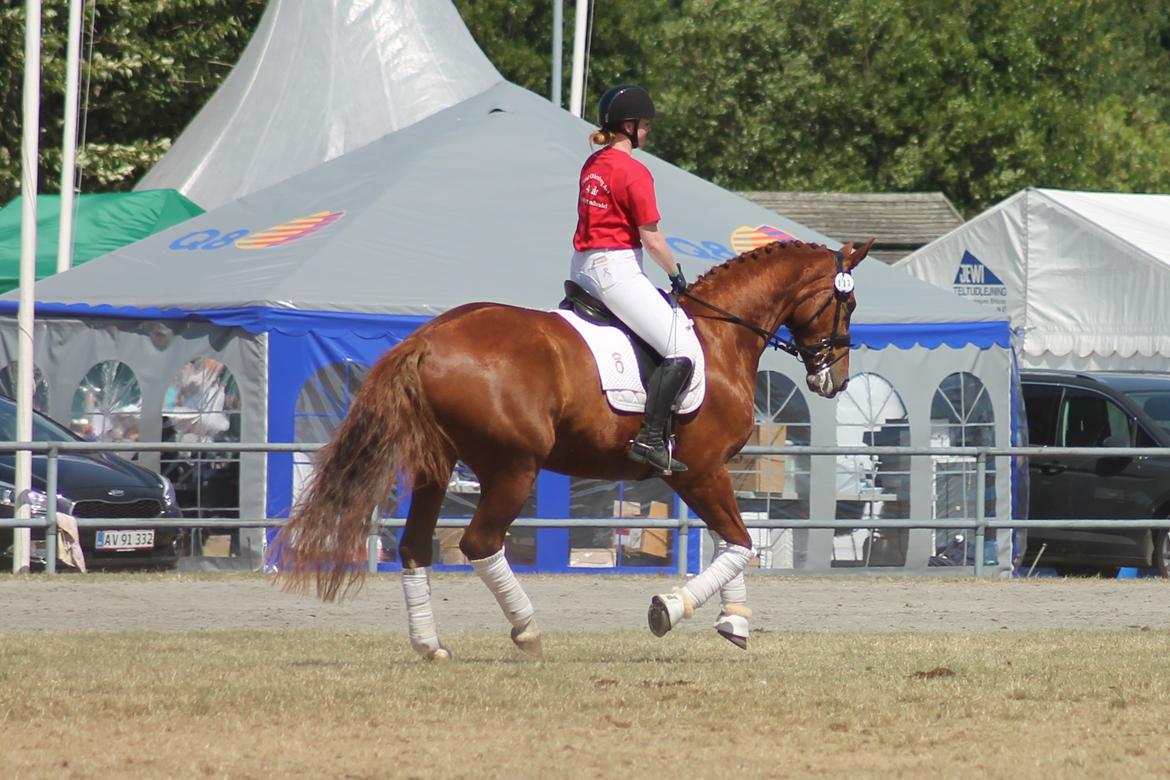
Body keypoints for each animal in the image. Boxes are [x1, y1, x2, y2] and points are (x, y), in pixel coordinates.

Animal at [276, 238, 870, 659]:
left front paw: (735, 620)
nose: (835, 380)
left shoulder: (701, 474)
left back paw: (430, 644)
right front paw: (670, 609)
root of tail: (427, 338)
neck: (720, 336)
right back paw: (527, 630)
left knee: (415, 545)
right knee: (479, 542)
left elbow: (732, 541)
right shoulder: (698, 471)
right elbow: (741, 541)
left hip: (436, 467)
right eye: (848, 303)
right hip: (513, 468)